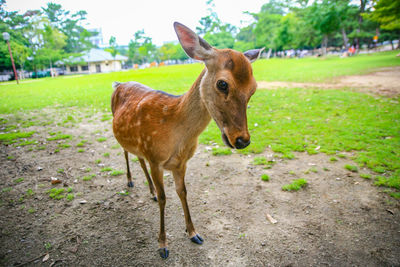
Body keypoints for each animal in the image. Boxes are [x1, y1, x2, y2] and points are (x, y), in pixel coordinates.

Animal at [111, 22, 264, 258]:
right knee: (126, 152)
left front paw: (193, 233)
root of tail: (117, 83)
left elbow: (183, 192)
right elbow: (165, 198)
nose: (242, 140)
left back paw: (150, 191)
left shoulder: (180, 163)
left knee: (139, 158)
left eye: (253, 89)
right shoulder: (156, 158)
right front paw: (162, 245)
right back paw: (130, 181)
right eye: (222, 84)